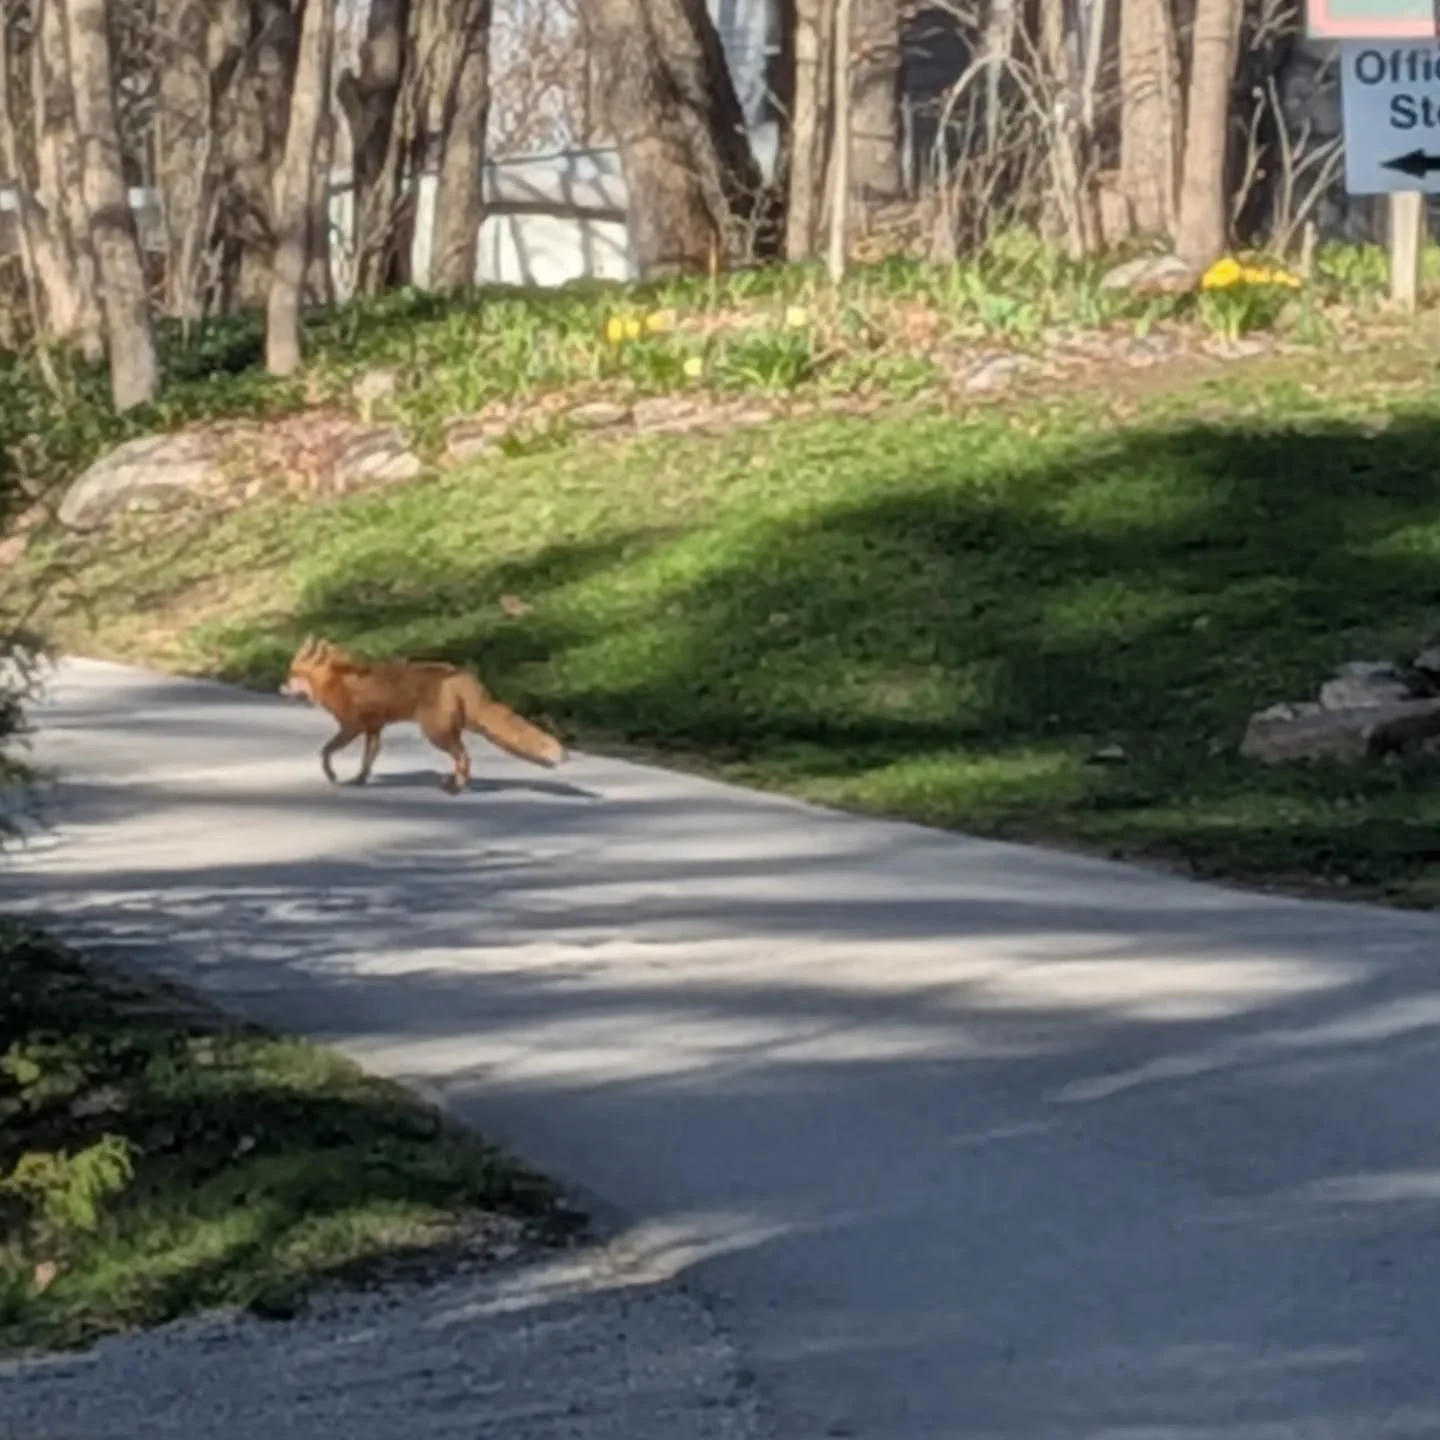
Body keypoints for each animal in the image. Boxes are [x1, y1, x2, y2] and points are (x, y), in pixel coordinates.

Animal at [279, 634, 565, 793]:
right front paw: (360, 780)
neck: (334, 681)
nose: (281, 687)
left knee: (464, 757)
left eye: (292, 675)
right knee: (462, 758)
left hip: (435, 733)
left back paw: (456, 788)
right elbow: (367, 761)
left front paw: (332, 775)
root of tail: (462, 676)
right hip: (449, 731)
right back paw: (452, 782)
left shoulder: (352, 727)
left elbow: (325, 752)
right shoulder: (374, 729)